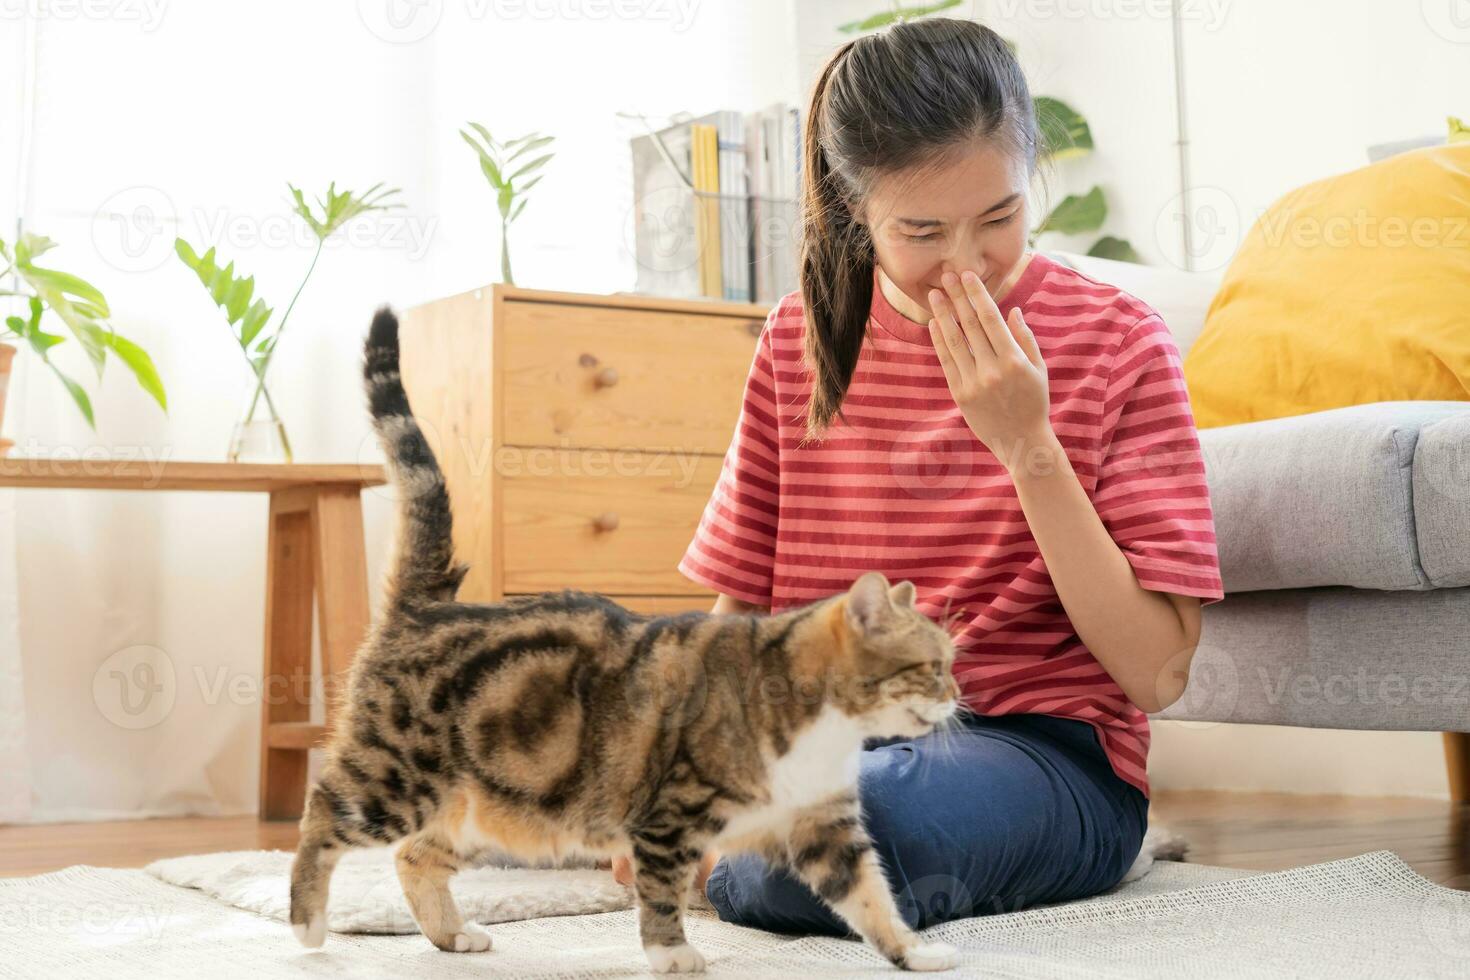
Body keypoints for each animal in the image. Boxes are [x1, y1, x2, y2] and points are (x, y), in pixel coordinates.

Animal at [289, 308, 964, 975]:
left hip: (489, 808)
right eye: (932, 665)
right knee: (322, 811)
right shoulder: (669, 815)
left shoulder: (823, 825)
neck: (823, 730)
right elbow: (662, 894)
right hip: (396, 778)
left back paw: (454, 935)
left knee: (415, 856)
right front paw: (673, 954)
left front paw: (915, 953)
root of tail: (425, 605)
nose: (957, 697)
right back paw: (307, 924)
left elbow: (872, 898)